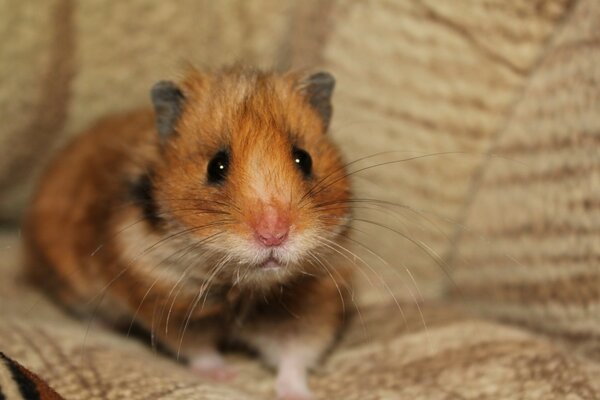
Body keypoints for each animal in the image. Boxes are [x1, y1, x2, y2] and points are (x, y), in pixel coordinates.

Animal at [24, 66, 352, 400]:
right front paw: (227, 376)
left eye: (304, 159)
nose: (273, 235)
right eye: (216, 166)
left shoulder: (311, 301)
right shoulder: (167, 301)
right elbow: (199, 348)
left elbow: (295, 357)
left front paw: (297, 393)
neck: (243, 288)